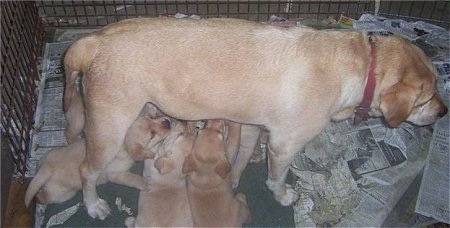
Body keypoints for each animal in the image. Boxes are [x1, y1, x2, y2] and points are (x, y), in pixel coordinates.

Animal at [25, 104, 172, 207]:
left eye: (152, 118)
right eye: (152, 135)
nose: (168, 122)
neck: (122, 146)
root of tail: (46, 168)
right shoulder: (115, 174)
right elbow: (131, 179)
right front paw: (145, 182)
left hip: (49, 153)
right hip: (62, 193)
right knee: (44, 198)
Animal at [63, 17, 446, 219]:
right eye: (426, 98)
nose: (444, 111)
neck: (361, 65)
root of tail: (93, 39)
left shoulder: (251, 127)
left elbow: (242, 156)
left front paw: (231, 180)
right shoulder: (284, 145)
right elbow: (277, 178)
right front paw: (283, 196)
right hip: (109, 129)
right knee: (86, 170)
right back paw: (93, 205)